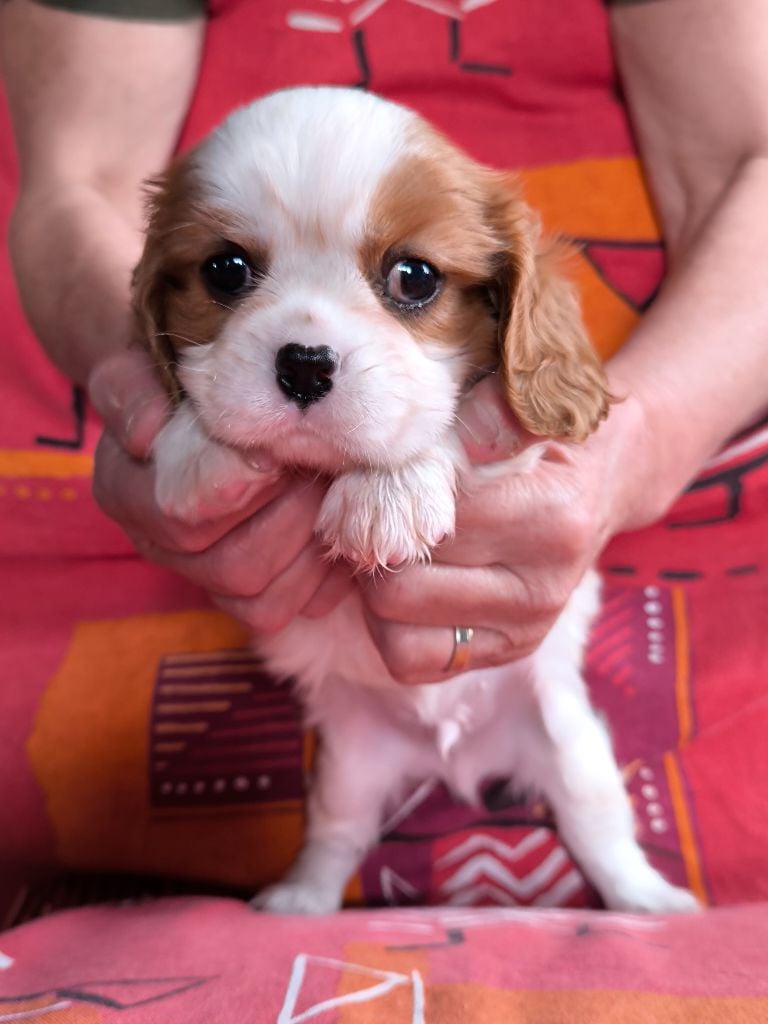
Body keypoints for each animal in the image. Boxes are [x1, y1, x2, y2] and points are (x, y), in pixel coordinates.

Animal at [134, 86, 698, 915]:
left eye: (414, 277)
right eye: (226, 270)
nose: (304, 365)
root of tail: (448, 754)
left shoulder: (524, 449)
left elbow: (451, 426)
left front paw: (389, 487)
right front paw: (197, 446)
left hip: (571, 748)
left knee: (600, 830)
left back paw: (646, 903)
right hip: (346, 770)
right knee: (336, 837)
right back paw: (299, 901)